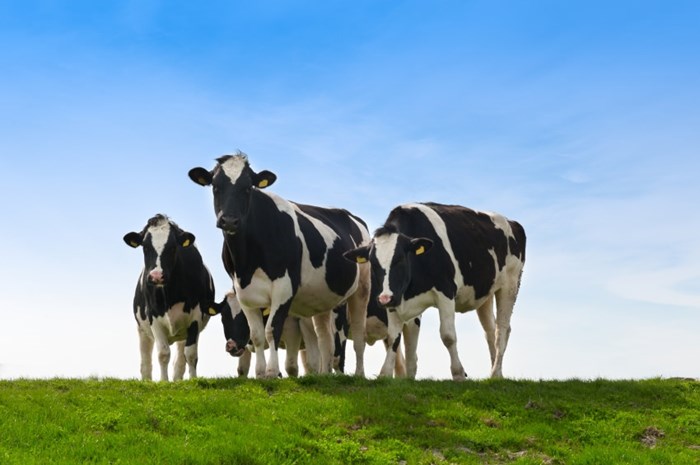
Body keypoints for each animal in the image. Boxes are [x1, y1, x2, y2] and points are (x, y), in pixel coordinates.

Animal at [123, 214, 216, 380]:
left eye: (173, 247)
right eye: (145, 247)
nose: (156, 276)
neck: (170, 296)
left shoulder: (195, 317)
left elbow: (191, 354)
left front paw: (194, 380)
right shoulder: (153, 317)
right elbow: (163, 353)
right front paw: (163, 381)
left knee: (180, 359)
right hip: (142, 330)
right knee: (145, 361)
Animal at [186, 152, 372, 376]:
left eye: (248, 187)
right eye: (215, 186)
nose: (229, 220)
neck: (247, 262)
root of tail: (350, 215)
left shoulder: (285, 287)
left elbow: (271, 330)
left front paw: (272, 372)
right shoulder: (242, 292)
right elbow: (257, 335)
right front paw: (260, 373)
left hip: (361, 289)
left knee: (358, 336)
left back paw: (359, 374)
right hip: (323, 299)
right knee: (325, 339)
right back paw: (325, 374)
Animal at [344, 201, 524, 378]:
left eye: (400, 259)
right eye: (373, 263)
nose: (384, 299)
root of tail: (512, 222)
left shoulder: (445, 291)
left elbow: (448, 336)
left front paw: (458, 374)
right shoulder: (395, 298)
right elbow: (394, 337)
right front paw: (387, 375)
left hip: (510, 284)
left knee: (502, 330)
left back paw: (495, 373)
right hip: (485, 294)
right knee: (490, 331)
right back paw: (495, 373)